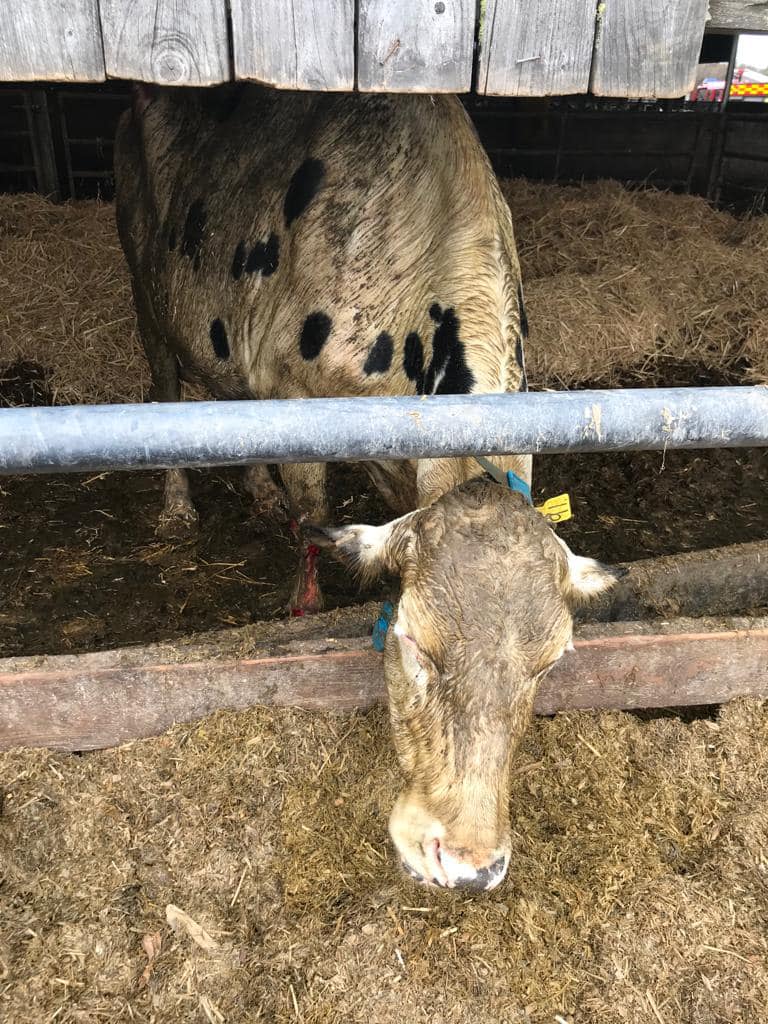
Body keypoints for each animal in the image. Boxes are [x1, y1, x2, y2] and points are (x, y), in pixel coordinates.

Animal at [114, 83, 622, 892]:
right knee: (166, 387)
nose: (469, 865)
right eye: (413, 642)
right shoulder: (297, 400)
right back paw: (177, 507)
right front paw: (302, 604)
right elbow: (313, 521)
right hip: (148, 287)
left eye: (552, 662)